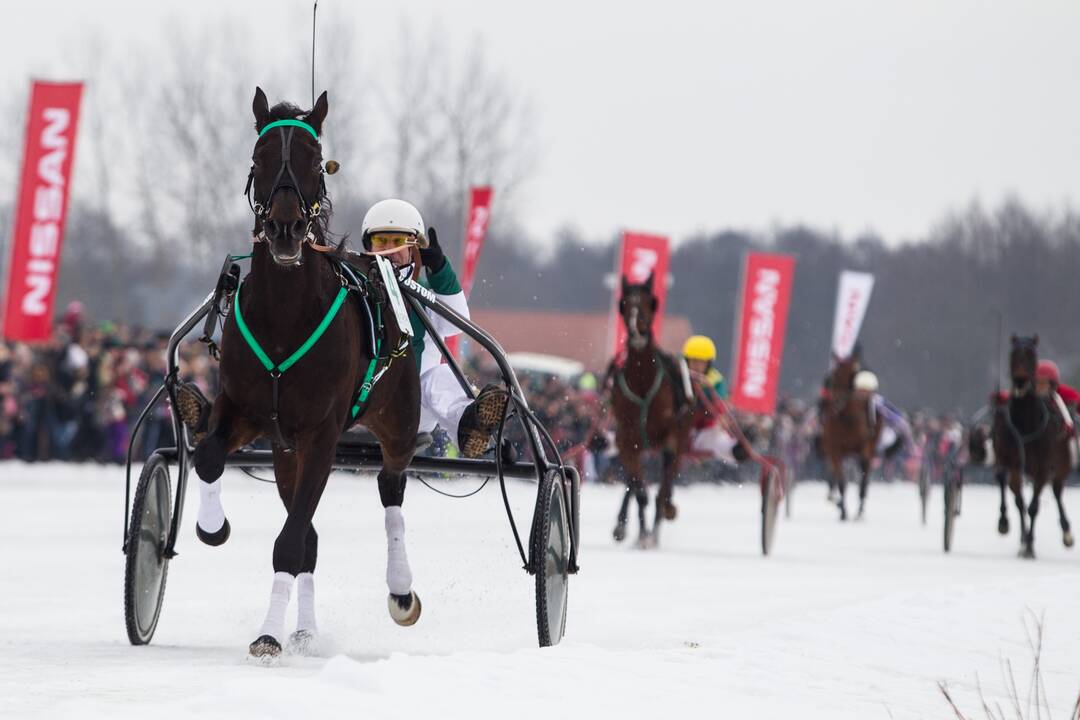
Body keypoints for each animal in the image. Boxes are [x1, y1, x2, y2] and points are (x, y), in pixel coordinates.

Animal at [183, 87, 423, 660]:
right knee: (309, 527)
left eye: (317, 162)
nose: (286, 228)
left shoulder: (322, 432)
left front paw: (269, 634)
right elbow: (208, 458)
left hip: (397, 420)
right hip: (284, 451)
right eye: (260, 156)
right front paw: (212, 527)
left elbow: (290, 543)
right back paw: (305, 629)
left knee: (391, 483)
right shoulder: (245, 410)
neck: (286, 317)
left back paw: (400, 589)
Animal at [609, 273, 691, 548]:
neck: (643, 382)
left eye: (651, 302)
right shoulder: (626, 437)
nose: (638, 331)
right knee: (634, 483)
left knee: (668, 475)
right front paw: (641, 535)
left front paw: (661, 520)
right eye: (623, 303)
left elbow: (663, 489)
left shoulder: (671, 435)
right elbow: (639, 489)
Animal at [820, 354, 881, 518]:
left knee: (865, 469)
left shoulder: (864, 445)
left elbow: (864, 471)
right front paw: (842, 510)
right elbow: (841, 479)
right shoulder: (834, 449)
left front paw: (858, 508)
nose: (838, 400)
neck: (845, 419)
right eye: (833, 376)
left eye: (852, 376)